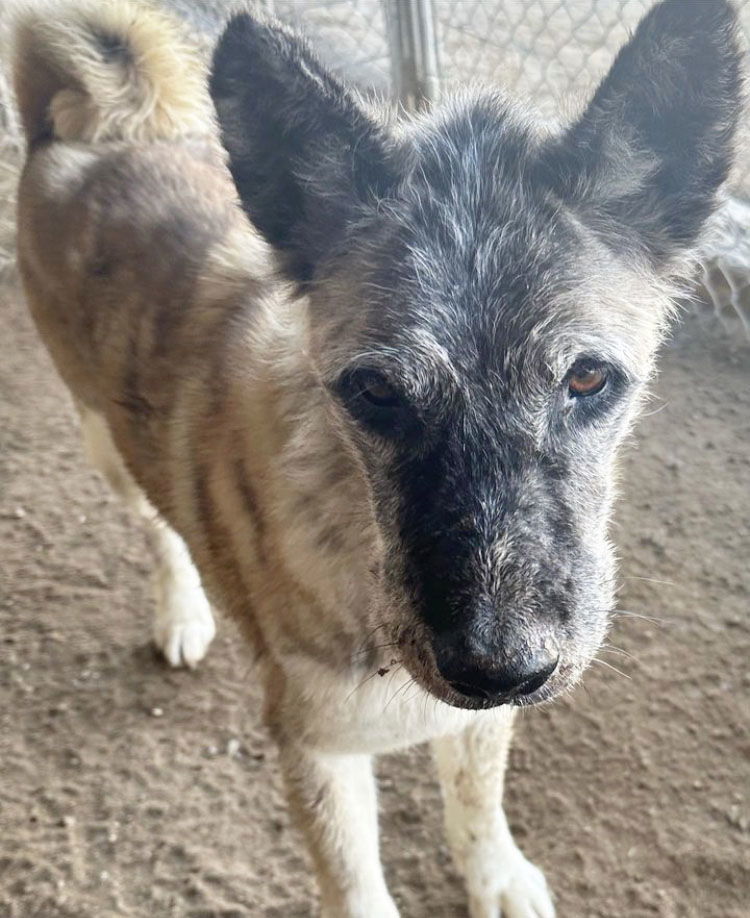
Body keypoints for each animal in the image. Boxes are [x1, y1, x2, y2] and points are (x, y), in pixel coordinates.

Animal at [14, 0, 744, 916]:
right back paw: (180, 613)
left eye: (587, 377)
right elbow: (357, 885)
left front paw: (497, 878)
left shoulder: (475, 720)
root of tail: (88, 133)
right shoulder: (317, 750)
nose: (500, 665)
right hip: (102, 438)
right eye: (374, 391)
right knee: (156, 528)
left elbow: (476, 803)